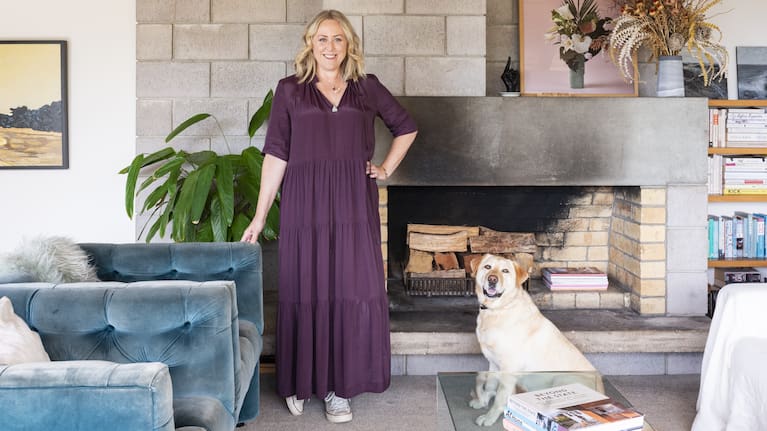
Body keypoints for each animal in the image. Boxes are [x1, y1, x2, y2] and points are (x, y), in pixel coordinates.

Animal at [468, 255, 600, 426]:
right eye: (488, 267)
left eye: (505, 271)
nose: (492, 279)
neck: (498, 309)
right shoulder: (493, 362)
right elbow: (490, 384)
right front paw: (482, 401)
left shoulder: (509, 369)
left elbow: (500, 397)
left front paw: (490, 417)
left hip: (562, 378)